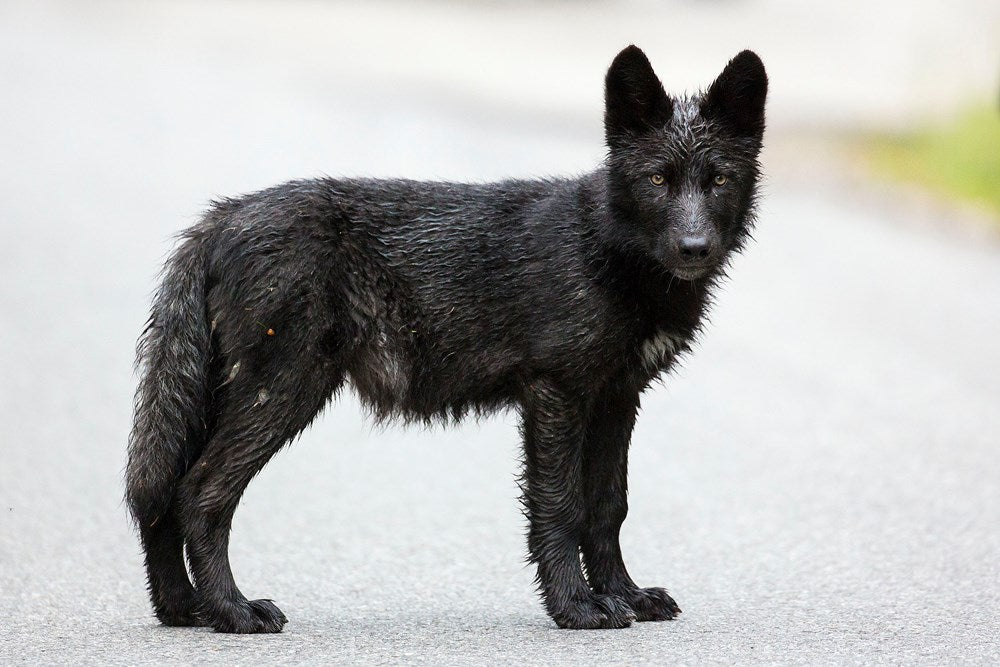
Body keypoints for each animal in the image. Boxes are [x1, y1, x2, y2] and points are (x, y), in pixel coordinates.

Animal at [125, 45, 767, 633]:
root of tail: (222, 217)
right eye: (657, 179)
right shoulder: (556, 393)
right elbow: (561, 506)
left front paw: (625, 596)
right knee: (199, 493)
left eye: (719, 180)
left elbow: (608, 507)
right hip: (283, 392)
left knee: (165, 496)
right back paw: (232, 611)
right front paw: (577, 606)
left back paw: (184, 610)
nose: (694, 249)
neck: (609, 251)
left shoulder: (616, 398)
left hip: (227, 396)